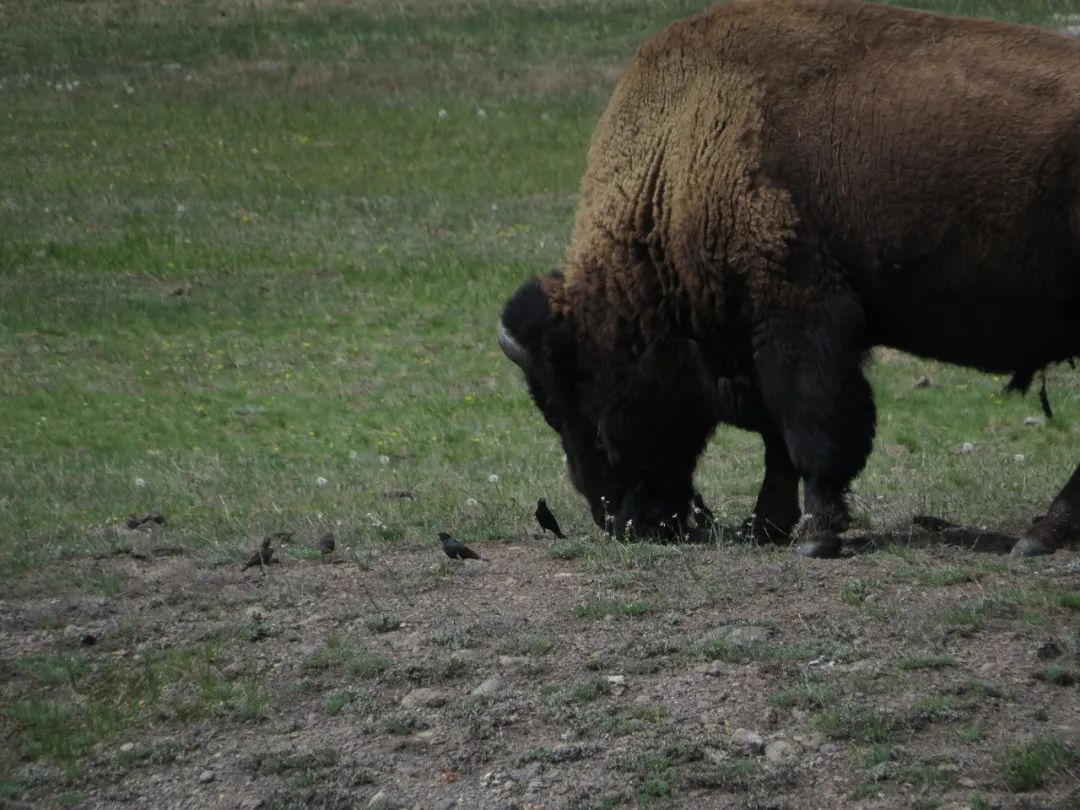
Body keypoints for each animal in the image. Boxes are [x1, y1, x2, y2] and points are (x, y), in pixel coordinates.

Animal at [496, 0, 1080, 557]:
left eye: (588, 413)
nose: (619, 523)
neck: (679, 150)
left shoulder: (801, 317)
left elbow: (814, 432)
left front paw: (816, 535)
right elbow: (779, 440)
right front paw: (767, 525)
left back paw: (1038, 535)